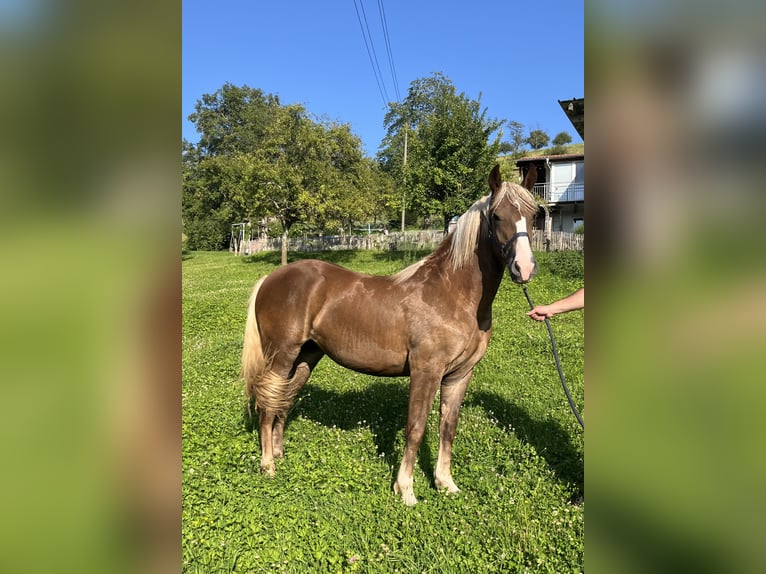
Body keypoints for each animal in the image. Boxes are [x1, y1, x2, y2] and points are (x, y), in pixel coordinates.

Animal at [241, 164, 539, 505]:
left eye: (534, 214)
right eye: (497, 216)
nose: (524, 268)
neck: (452, 293)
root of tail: (271, 278)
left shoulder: (460, 375)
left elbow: (447, 427)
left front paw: (445, 483)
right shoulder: (426, 371)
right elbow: (416, 427)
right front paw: (405, 489)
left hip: (305, 358)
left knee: (284, 400)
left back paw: (279, 454)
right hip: (281, 356)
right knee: (267, 404)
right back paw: (267, 465)